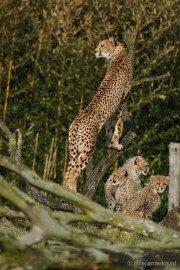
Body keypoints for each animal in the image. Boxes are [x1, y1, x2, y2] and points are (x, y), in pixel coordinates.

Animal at [64, 38, 131, 192]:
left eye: (102, 45)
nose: (95, 51)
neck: (117, 53)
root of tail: (76, 122)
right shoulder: (121, 104)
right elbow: (117, 127)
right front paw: (116, 144)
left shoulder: (112, 112)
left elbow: (109, 127)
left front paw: (109, 143)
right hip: (88, 149)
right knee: (74, 171)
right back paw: (73, 191)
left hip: (74, 148)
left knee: (68, 170)